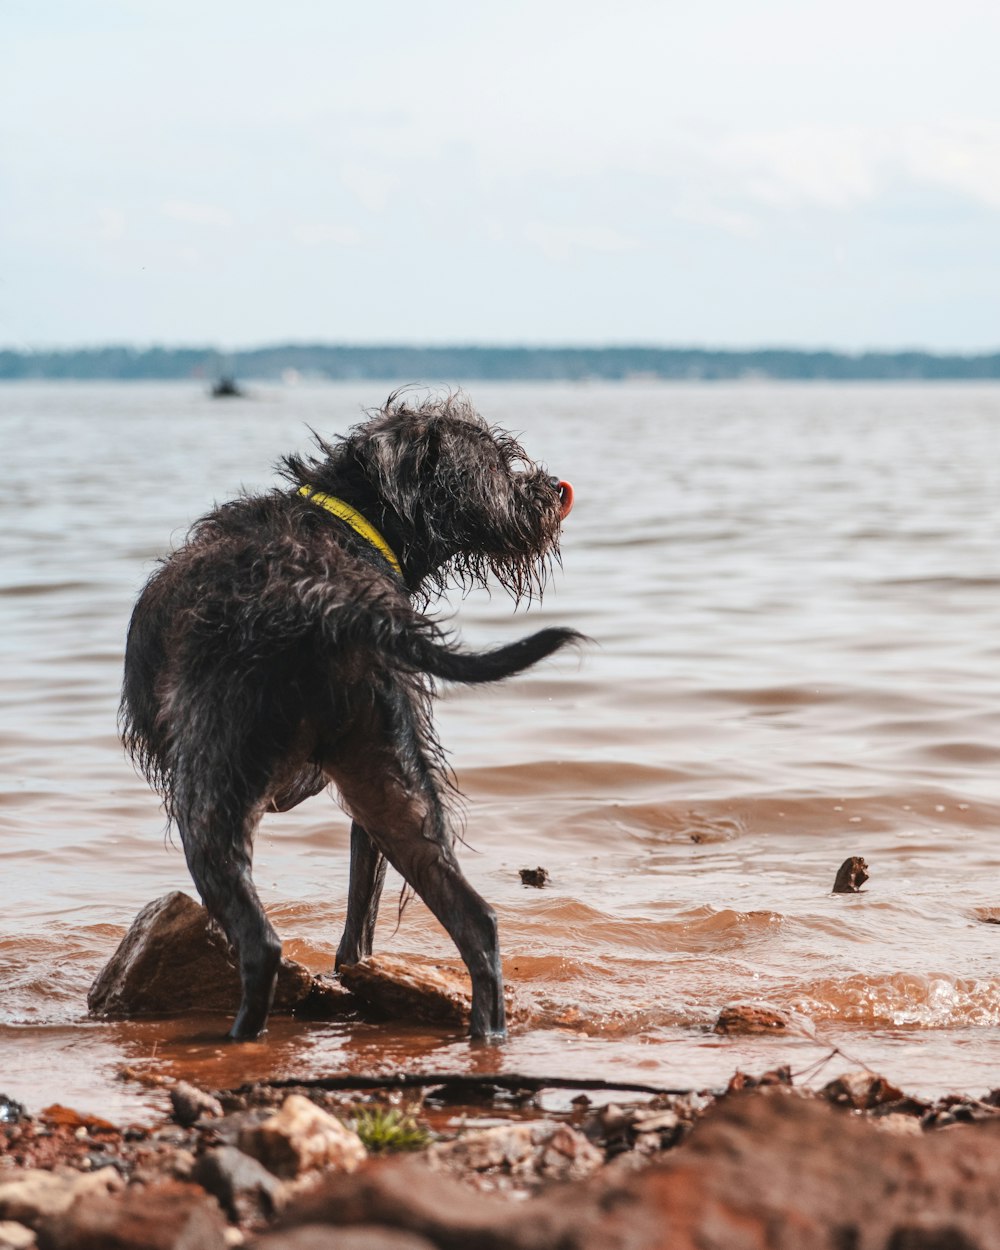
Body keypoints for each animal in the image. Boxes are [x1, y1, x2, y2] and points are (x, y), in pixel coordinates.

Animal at [119, 395, 577, 1040]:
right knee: (476, 921)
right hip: (391, 782)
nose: (551, 490)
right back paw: (486, 1034)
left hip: (210, 792)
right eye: (495, 461)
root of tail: (325, 597)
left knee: (261, 943)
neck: (348, 521)